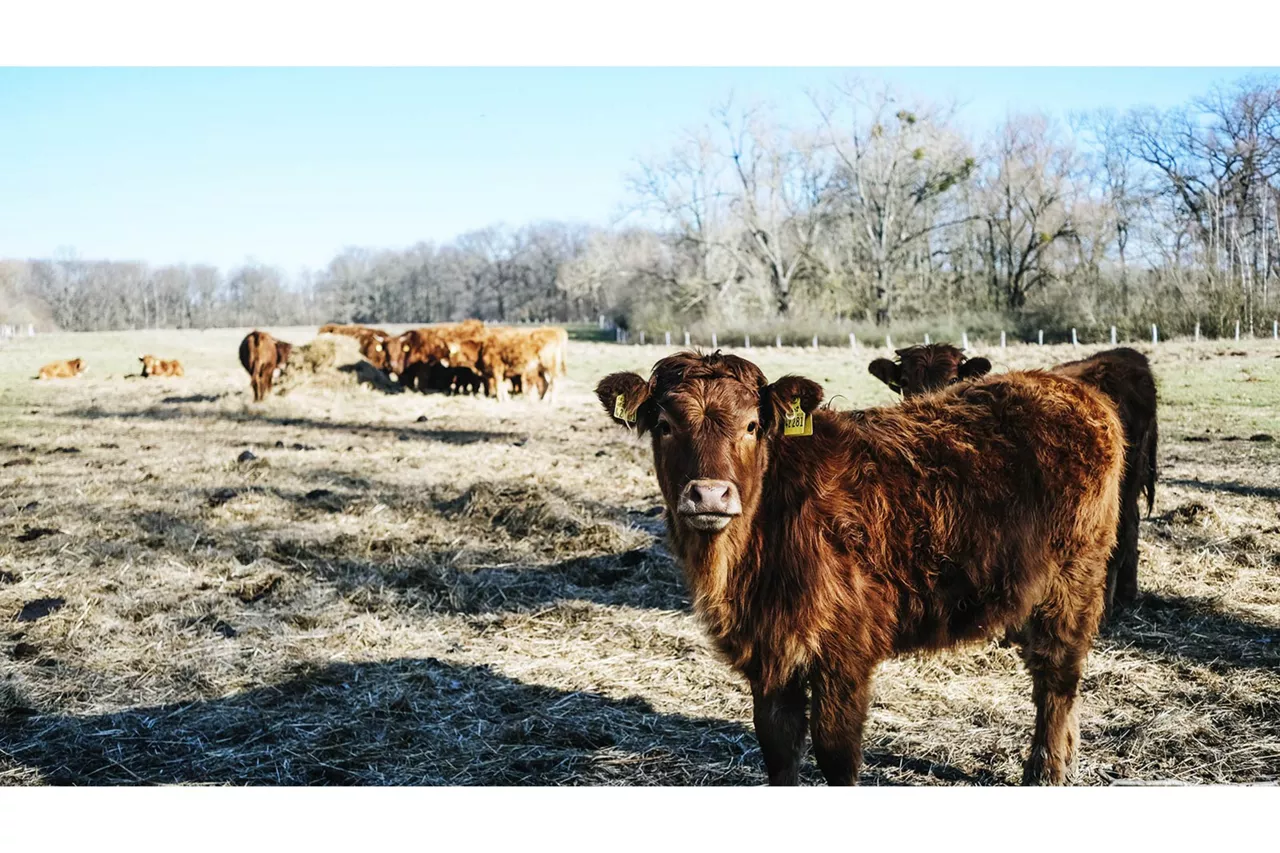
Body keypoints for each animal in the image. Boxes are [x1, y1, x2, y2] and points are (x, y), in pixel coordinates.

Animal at [596, 350, 1121, 783]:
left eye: (750, 426)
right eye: (665, 425)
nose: (709, 494)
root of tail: (1068, 388)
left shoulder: (843, 652)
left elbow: (836, 754)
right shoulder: (769, 652)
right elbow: (779, 749)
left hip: (1073, 581)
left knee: (1057, 676)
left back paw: (1046, 771)